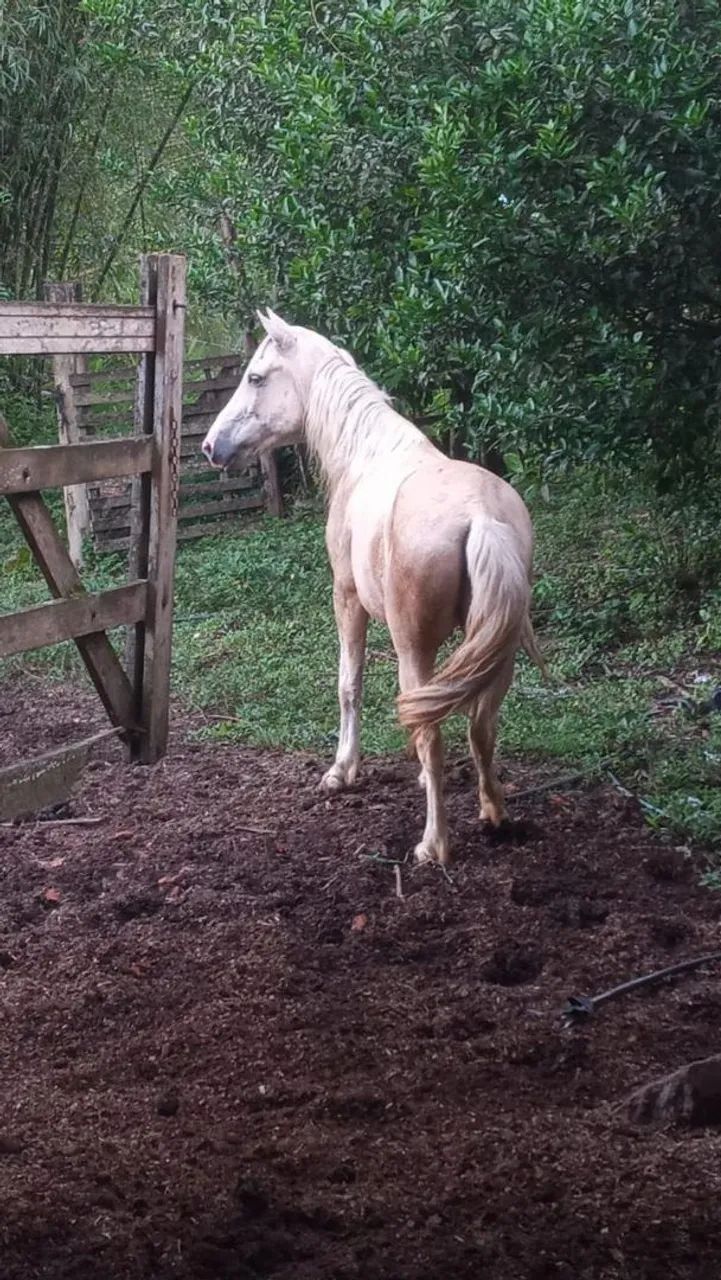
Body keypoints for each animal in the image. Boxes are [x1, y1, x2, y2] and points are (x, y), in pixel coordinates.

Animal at [202, 309, 544, 865]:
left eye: (255, 377)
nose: (212, 447)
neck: (366, 454)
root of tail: (481, 518)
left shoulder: (347, 600)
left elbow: (350, 684)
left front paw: (342, 770)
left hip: (414, 649)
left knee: (434, 733)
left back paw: (433, 845)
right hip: (498, 652)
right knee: (481, 726)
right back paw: (493, 812)